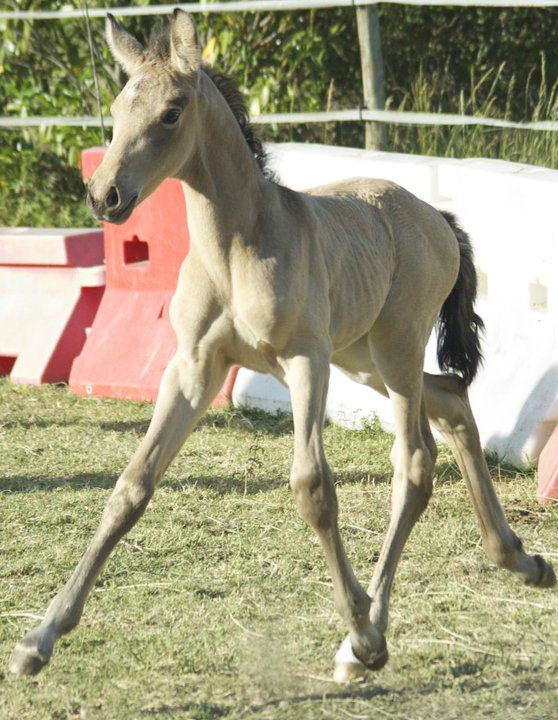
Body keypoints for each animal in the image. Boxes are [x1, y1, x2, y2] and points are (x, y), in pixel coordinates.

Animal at [11, 10, 555, 681]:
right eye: (116, 109)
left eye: (171, 112)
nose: (104, 196)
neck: (234, 249)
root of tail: (439, 220)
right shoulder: (193, 367)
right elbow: (132, 486)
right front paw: (39, 639)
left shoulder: (303, 360)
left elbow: (313, 488)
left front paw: (361, 634)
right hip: (363, 360)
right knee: (452, 400)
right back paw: (520, 560)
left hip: (393, 352)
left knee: (415, 463)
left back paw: (365, 639)